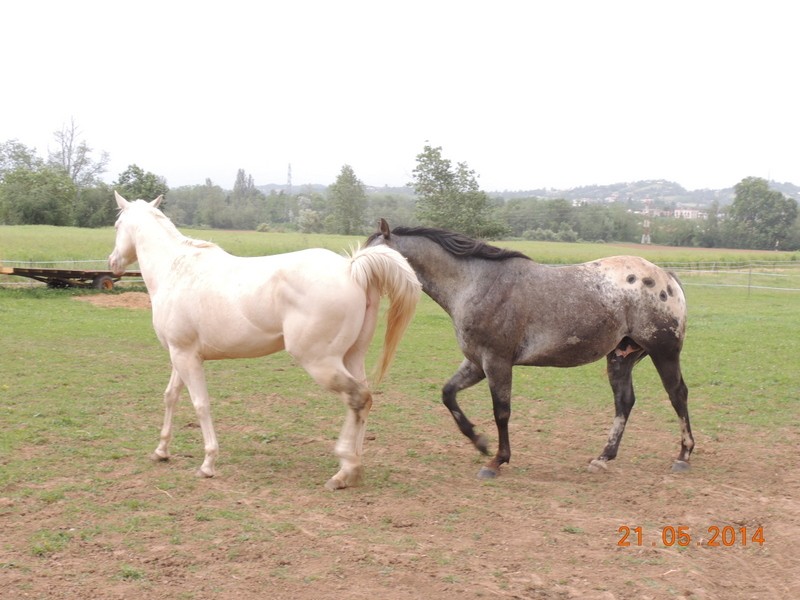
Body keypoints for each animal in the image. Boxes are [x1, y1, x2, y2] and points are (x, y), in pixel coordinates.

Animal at [109, 192, 422, 488]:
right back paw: (352, 467)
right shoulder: (180, 354)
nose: (112, 263)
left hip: (320, 362)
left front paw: (208, 463)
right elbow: (171, 396)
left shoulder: (186, 356)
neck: (176, 269)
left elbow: (200, 404)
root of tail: (352, 269)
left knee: (358, 397)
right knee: (363, 401)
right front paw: (161, 450)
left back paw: (345, 470)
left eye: (116, 225)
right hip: (351, 357)